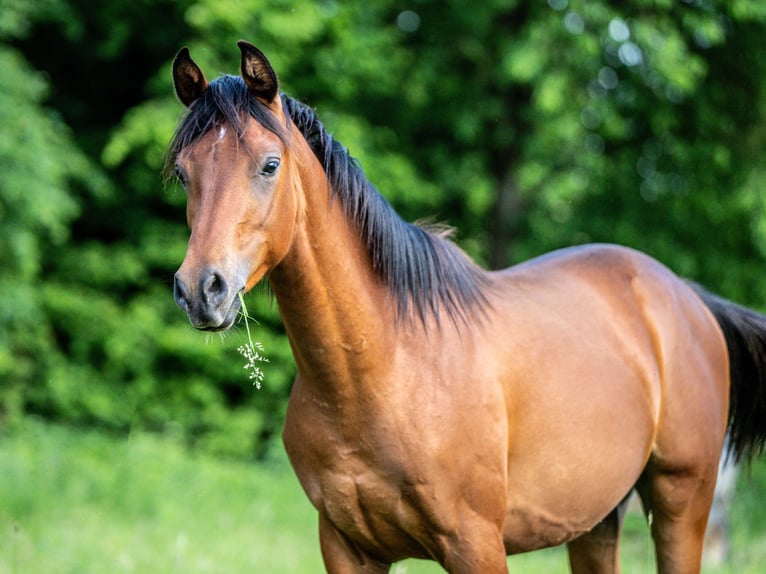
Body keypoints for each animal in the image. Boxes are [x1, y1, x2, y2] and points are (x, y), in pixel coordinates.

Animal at [166, 42, 766, 572]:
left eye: (269, 165)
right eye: (184, 173)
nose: (201, 289)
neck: (381, 368)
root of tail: (687, 296)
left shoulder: (474, 544)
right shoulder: (345, 547)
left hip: (681, 504)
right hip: (595, 521)